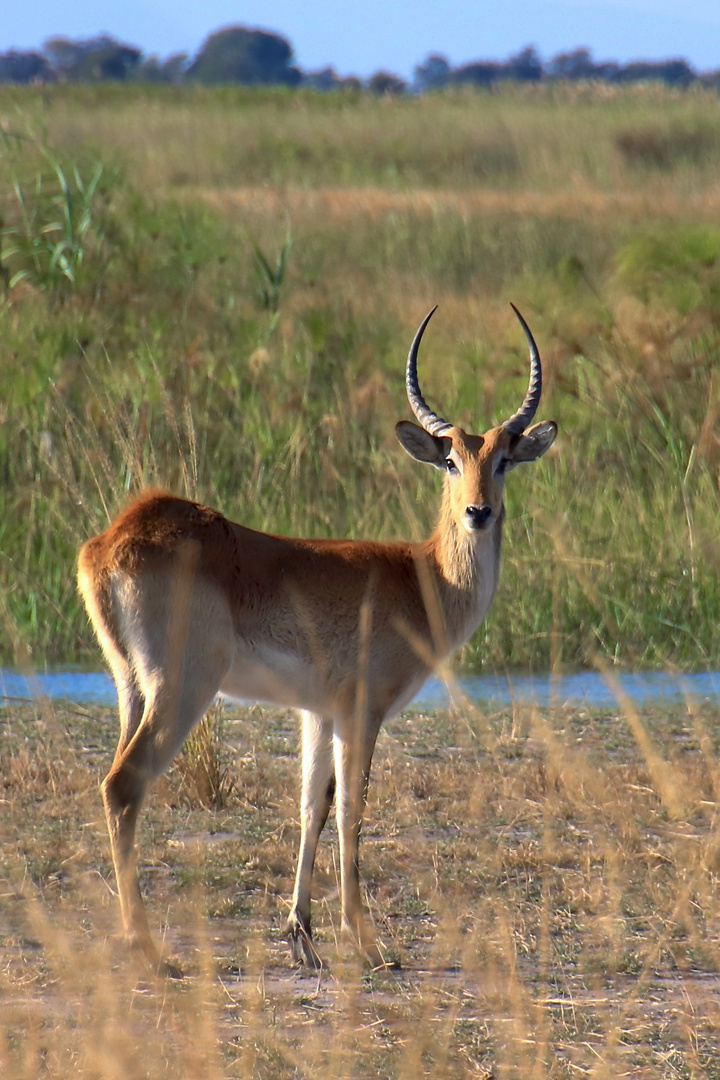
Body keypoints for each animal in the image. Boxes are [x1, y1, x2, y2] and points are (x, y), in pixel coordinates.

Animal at [77, 306, 557, 980]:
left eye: (505, 459)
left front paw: (301, 935)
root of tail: (112, 538)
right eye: (450, 462)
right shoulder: (363, 711)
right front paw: (368, 941)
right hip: (183, 689)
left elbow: (312, 805)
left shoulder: (318, 713)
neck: (421, 578)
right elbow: (353, 809)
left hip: (131, 689)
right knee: (124, 785)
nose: (478, 513)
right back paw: (149, 949)